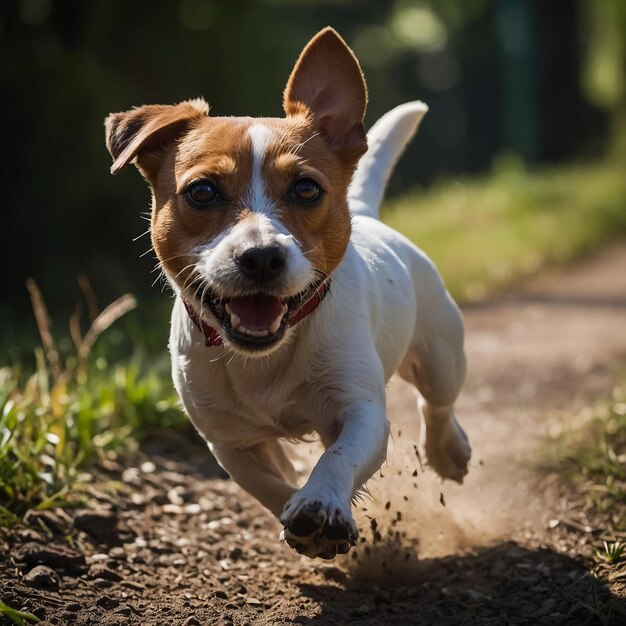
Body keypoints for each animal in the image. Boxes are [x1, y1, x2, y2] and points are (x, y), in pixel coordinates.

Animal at [106, 26, 468, 560]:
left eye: (306, 189)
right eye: (202, 191)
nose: (261, 257)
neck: (266, 357)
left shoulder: (359, 412)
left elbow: (337, 457)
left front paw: (322, 503)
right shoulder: (231, 443)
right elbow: (268, 486)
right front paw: (298, 514)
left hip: (441, 354)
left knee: (437, 405)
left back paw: (449, 452)